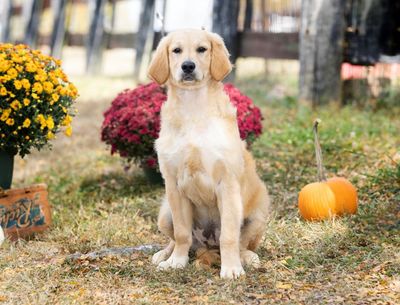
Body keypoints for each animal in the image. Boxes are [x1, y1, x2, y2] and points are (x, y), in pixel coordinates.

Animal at [148, 29, 270, 278]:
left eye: (202, 49)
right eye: (176, 50)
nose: (188, 66)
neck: (193, 108)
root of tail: (207, 244)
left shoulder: (227, 183)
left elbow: (229, 236)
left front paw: (231, 268)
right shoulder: (173, 185)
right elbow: (182, 234)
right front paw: (177, 261)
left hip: (259, 212)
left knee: (242, 243)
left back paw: (247, 258)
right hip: (165, 213)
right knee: (177, 239)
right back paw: (164, 254)